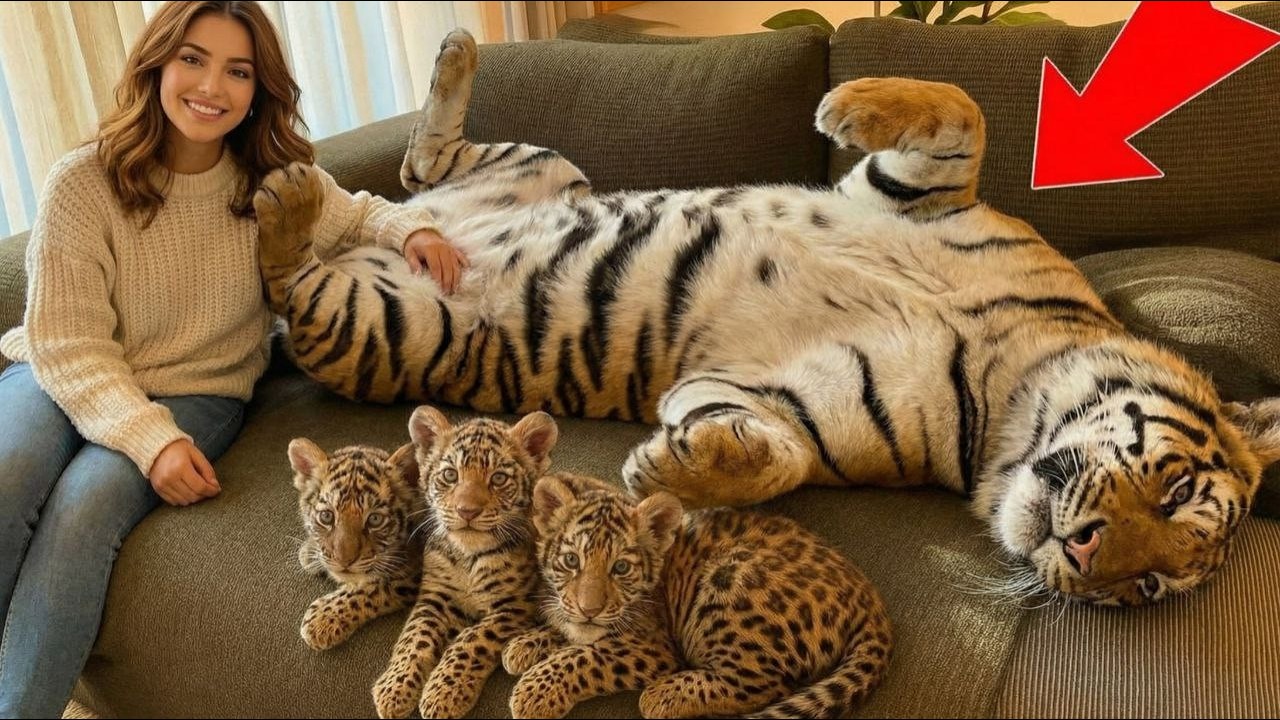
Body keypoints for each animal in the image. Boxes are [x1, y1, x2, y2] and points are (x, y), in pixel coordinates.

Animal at [253, 28, 1280, 606]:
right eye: (1177, 489)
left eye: (1150, 585)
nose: (1085, 555)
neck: (1008, 386)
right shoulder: (925, 195)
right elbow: (962, 113)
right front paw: (850, 102)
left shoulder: (763, 395)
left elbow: (776, 454)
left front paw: (672, 466)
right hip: (537, 168)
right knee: (410, 177)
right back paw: (420, 82)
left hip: (376, 322)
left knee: (299, 279)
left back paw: (288, 195)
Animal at [287, 439, 422, 650]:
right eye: (326, 516)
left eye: (375, 520)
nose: (344, 561)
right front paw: (310, 553)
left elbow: (374, 586)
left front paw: (321, 620)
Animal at [371, 406, 556, 719]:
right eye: (450, 475)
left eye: (498, 478)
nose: (466, 511)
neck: (468, 558)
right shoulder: (435, 596)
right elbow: (414, 638)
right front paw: (395, 687)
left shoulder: (515, 606)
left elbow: (472, 640)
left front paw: (444, 691)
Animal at [502, 472, 891, 719]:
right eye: (571, 560)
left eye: (621, 568)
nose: (589, 610)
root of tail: (867, 595)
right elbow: (573, 632)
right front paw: (526, 644)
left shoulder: (653, 647)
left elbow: (584, 656)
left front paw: (534, 692)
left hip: (727, 583)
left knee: (764, 685)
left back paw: (662, 696)